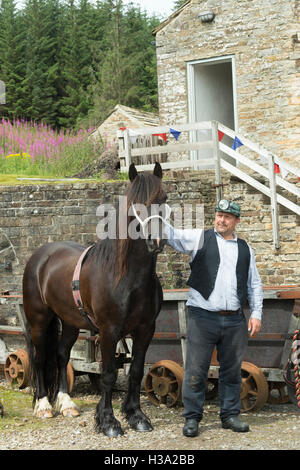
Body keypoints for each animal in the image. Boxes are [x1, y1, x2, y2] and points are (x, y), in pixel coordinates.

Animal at [23, 162, 168, 436]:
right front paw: (108, 421)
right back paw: (44, 405)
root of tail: (39, 256)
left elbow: (135, 371)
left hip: (70, 322)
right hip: (38, 321)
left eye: (163, 198)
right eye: (135, 203)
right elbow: (108, 374)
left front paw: (136, 416)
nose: (155, 240)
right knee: (39, 358)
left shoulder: (146, 329)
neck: (127, 277)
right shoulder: (109, 330)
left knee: (61, 356)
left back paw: (67, 404)